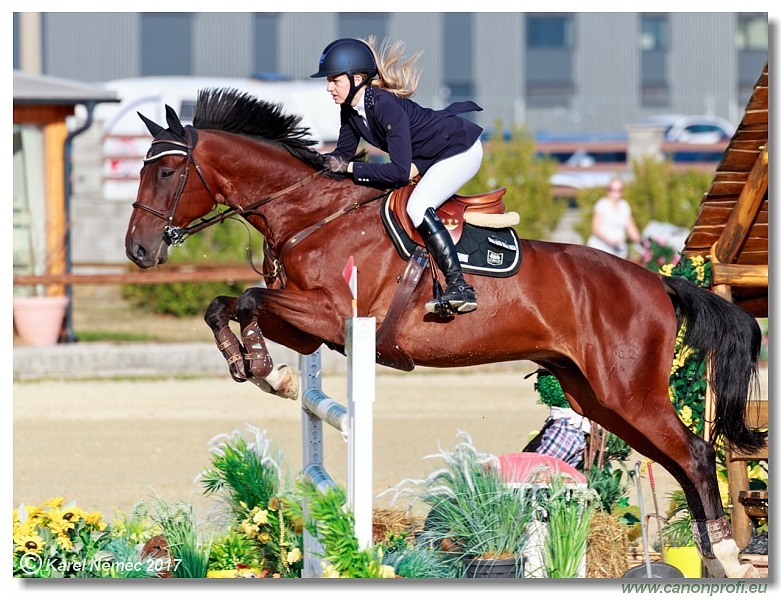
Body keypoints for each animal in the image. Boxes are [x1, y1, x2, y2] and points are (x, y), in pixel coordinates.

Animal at [125, 88, 764, 576]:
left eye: (167, 170)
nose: (138, 251)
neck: (310, 214)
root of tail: (657, 282)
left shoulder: (332, 317)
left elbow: (251, 299)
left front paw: (262, 365)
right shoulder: (310, 328)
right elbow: (225, 304)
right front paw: (258, 366)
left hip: (629, 392)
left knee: (696, 453)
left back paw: (729, 556)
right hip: (596, 397)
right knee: (680, 459)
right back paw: (711, 554)